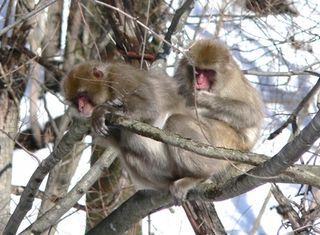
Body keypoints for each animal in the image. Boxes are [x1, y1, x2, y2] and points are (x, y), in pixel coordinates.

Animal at [62, 61, 230, 199]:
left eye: (82, 95)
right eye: (76, 100)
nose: (81, 107)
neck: (107, 85)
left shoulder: (122, 77)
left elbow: (150, 107)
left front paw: (103, 110)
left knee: (175, 121)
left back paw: (199, 176)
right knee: (127, 150)